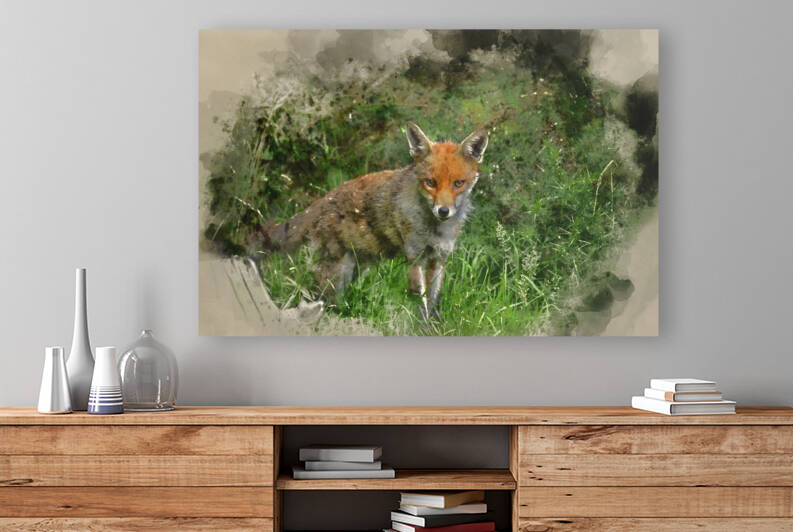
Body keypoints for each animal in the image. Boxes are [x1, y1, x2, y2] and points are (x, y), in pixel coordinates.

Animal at [250, 122, 489, 319]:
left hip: (357, 269)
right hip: (336, 274)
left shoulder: (439, 259)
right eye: (430, 182)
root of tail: (323, 199)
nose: (443, 211)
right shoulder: (415, 257)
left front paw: (434, 327)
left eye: (458, 183)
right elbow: (419, 301)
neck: (435, 229)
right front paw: (419, 327)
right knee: (321, 300)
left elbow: (434, 301)